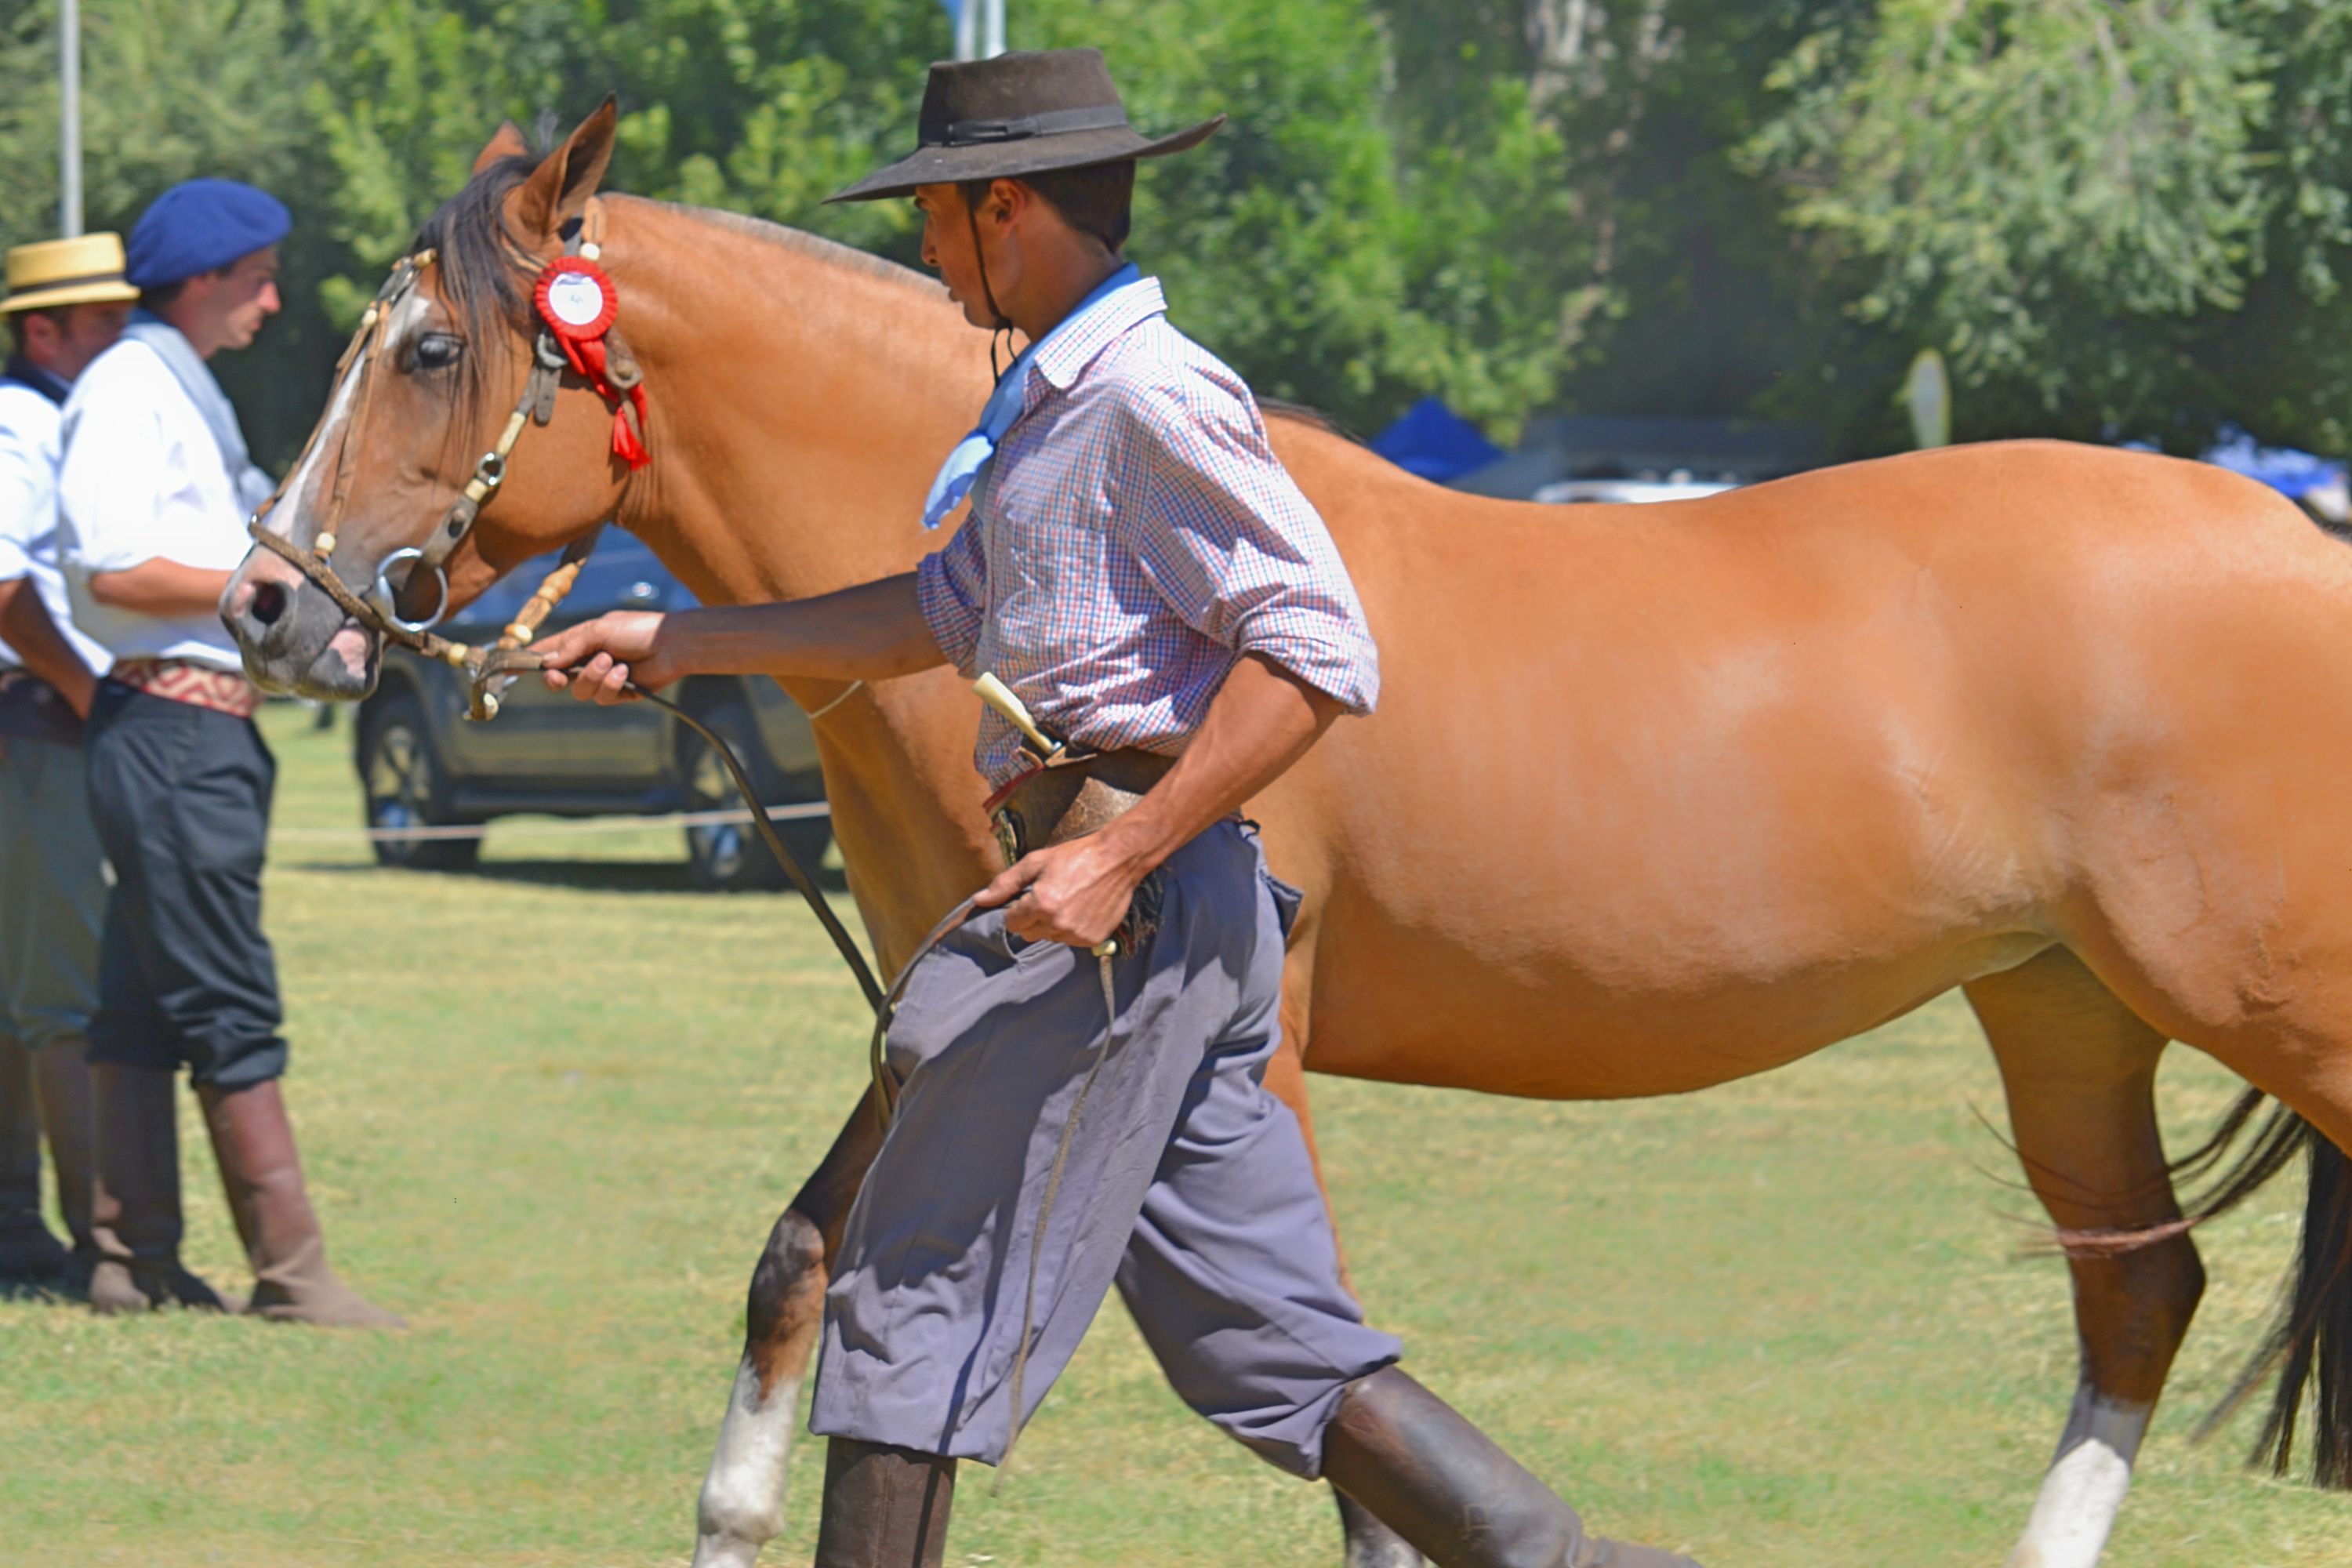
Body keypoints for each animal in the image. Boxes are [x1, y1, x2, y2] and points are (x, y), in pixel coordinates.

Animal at [229, 110, 2352, 1568]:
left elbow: (1335, 1414)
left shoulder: (1241, 1043)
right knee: (2135, 1288)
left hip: (2258, 1003)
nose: (264, 603)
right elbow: (805, 1260)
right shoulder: (943, 1008)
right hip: (2059, 1004)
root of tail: (2294, 540)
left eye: (432, 352)